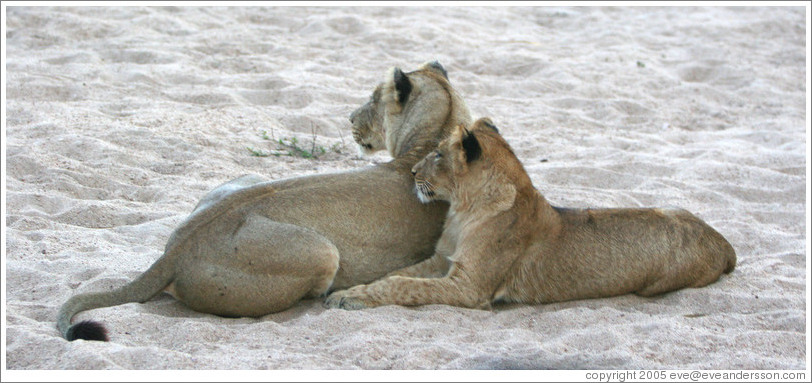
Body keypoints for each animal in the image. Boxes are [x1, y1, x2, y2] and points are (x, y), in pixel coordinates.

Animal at [57, 62, 472, 342]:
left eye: (372, 99)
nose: (350, 118)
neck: (430, 138)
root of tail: (175, 252)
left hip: (251, 182)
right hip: (323, 250)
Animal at [324, 118, 736, 312]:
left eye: (438, 154)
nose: (411, 173)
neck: (463, 210)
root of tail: (724, 243)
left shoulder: (470, 288)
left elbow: (404, 285)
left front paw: (351, 298)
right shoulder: (442, 260)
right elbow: (396, 275)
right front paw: (347, 291)